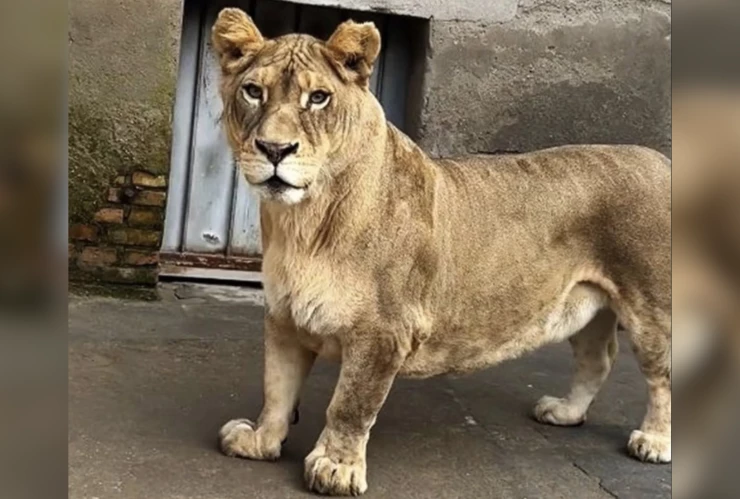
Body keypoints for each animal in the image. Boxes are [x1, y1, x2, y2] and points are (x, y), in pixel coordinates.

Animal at [210, 8, 671, 496]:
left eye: (318, 98)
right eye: (253, 91)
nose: (274, 149)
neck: (302, 222)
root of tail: (661, 160)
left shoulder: (383, 332)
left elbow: (350, 406)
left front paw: (336, 468)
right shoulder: (284, 317)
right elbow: (276, 389)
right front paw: (261, 441)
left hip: (651, 308)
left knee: (662, 375)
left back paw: (655, 441)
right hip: (589, 306)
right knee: (597, 360)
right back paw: (565, 412)